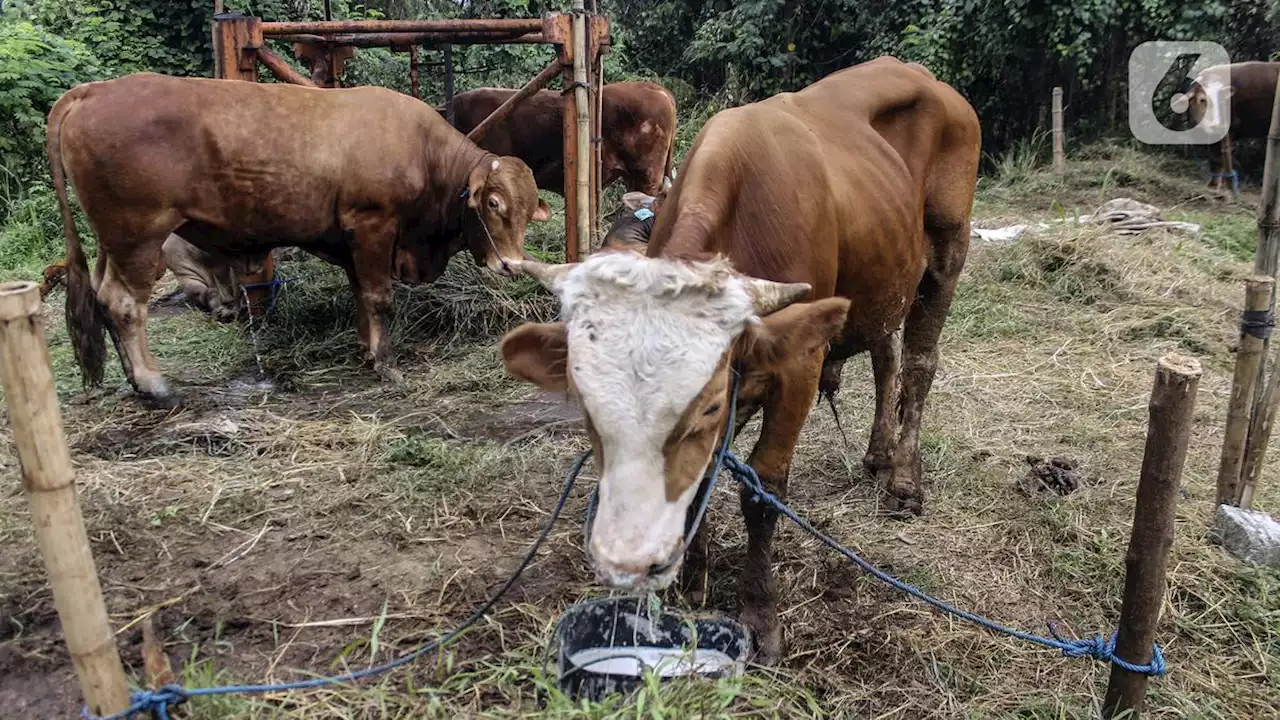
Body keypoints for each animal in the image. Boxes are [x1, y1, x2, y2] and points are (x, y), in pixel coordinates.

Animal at [48, 74, 550, 407]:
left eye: (528, 211)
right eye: (493, 204)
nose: (510, 264)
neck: (423, 153)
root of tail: (92, 90)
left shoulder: (351, 240)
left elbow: (361, 297)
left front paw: (367, 350)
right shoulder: (373, 227)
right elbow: (380, 298)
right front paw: (387, 364)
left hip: (112, 242)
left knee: (102, 297)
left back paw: (135, 380)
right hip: (138, 236)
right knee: (124, 304)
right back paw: (155, 384)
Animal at [499, 58, 977, 661]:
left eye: (703, 409)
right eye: (589, 409)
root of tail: (925, 77)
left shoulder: (800, 364)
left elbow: (763, 490)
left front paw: (760, 615)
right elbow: (701, 477)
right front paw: (692, 580)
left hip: (947, 250)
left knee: (919, 363)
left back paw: (905, 481)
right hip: (885, 278)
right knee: (885, 353)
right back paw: (878, 454)